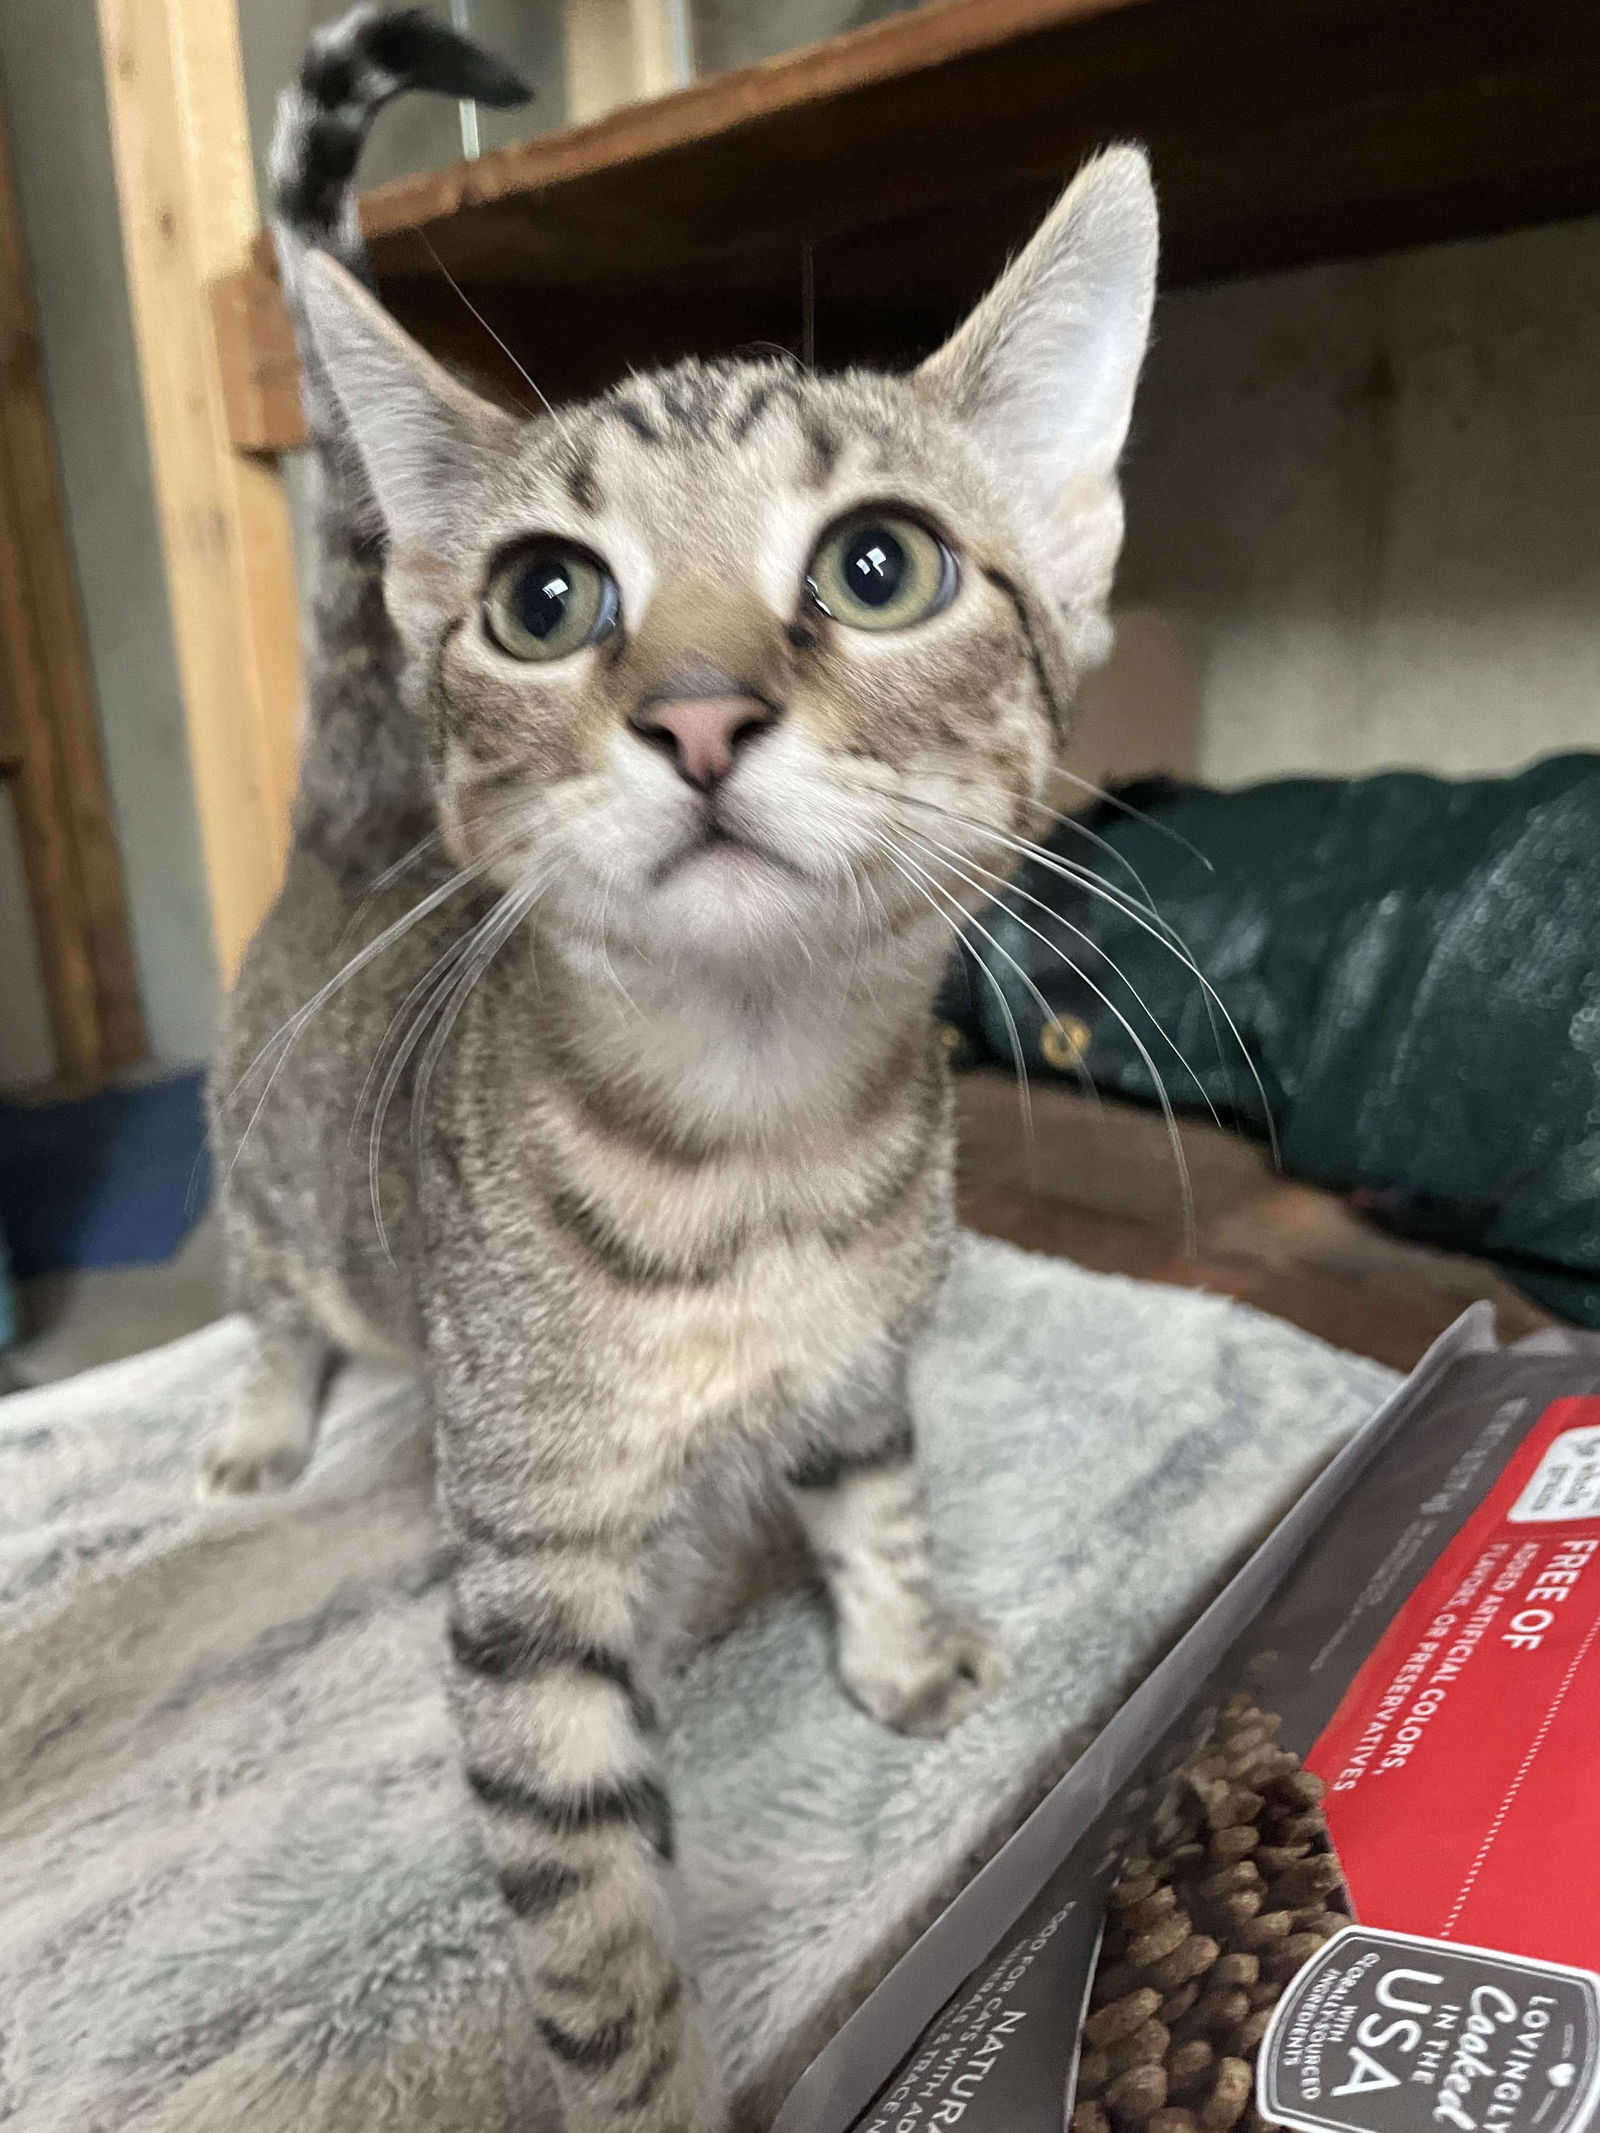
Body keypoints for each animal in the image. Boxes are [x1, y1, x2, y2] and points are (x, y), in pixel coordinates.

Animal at [210, 8, 1169, 2124]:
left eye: (884, 564)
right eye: (543, 598)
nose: (703, 713)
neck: (761, 1143)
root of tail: (346, 835)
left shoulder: (868, 1363)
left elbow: (877, 1499)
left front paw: (904, 1652)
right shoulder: (533, 1584)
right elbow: (595, 1933)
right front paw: (652, 2077)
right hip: (269, 1187)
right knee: (276, 1292)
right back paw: (258, 1416)